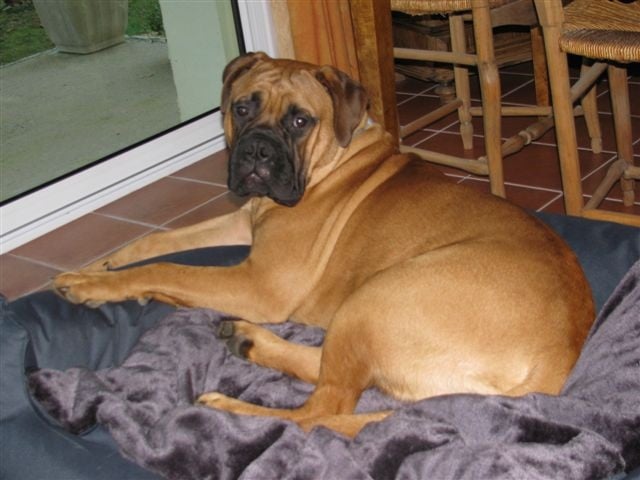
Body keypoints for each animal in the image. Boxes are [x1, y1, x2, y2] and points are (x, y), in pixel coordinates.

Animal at [53, 52, 595, 438]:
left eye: (300, 121)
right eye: (242, 107)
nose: (257, 151)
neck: (330, 163)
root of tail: (557, 361)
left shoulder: (258, 283)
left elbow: (171, 270)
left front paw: (91, 284)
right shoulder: (243, 220)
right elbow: (159, 240)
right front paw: (103, 265)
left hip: (377, 296)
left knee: (319, 412)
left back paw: (228, 406)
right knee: (330, 376)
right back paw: (248, 340)